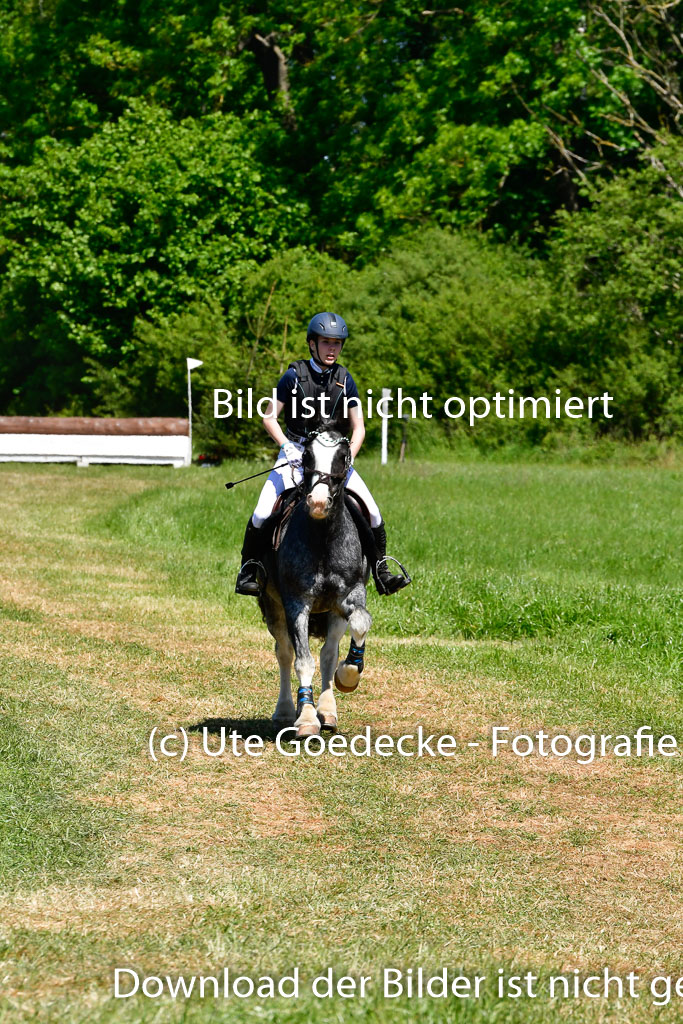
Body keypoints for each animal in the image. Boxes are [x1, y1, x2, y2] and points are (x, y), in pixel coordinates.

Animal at [258, 428, 374, 741]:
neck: (323, 536)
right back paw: (287, 710)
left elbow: (359, 624)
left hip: (334, 614)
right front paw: (307, 718)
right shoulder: (296, 603)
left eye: (343, 457)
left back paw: (328, 711)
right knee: (286, 653)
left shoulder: (350, 595)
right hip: (273, 608)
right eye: (307, 456)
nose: (319, 503)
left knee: (328, 654)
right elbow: (302, 660)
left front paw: (349, 675)